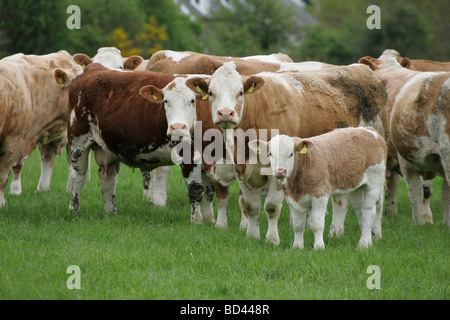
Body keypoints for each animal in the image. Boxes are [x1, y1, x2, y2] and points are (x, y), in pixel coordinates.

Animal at [67, 62, 207, 222]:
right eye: (166, 101)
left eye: (192, 100)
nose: (177, 127)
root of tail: (93, 68)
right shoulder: (190, 153)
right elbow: (195, 189)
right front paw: (197, 221)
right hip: (78, 142)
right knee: (77, 175)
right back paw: (74, 210)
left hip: (108, 148)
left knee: (108, 178)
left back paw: (112, 213)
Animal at [250, 128, 386, 250]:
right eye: (270, 154)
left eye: (291, 154)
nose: (280, 171)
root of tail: (369, 130)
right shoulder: (292, 198)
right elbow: (298, 225)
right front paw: (297, 247)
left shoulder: (320, 194)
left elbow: (317, 223)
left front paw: (319, 246)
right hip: (356, 187)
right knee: (360, 212)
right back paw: (365, 241)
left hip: (374, 183)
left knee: (368, 212)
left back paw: (364, 244)